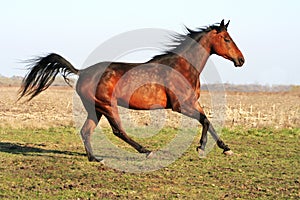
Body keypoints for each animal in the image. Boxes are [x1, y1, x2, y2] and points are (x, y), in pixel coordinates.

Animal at [18, 19, 244, 162]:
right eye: (227, 39)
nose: (241, 60)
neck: (182, 68)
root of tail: (82, 72)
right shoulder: (180, 106)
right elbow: (204, 121)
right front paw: (201, 148)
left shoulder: (193, 103)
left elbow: (208, 120)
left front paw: (226, 148)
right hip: (107, 106)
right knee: (118, 131)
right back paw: (146, 151)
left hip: (96, 109)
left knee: (86, 131)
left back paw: (94, 158)